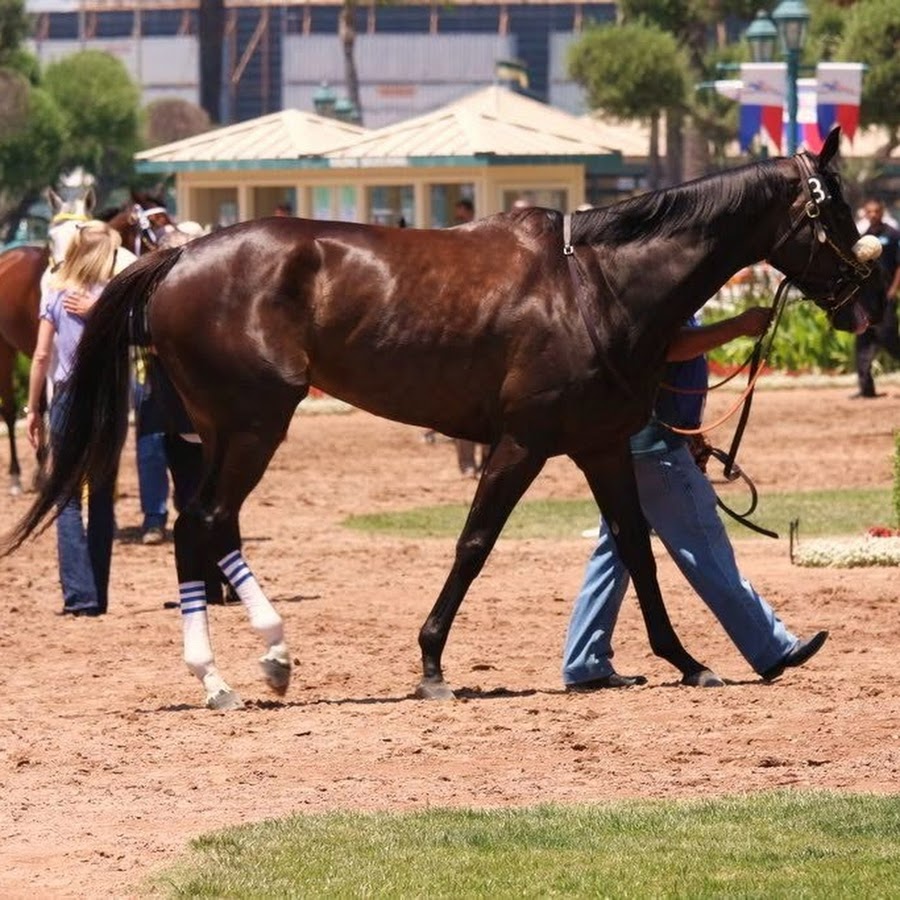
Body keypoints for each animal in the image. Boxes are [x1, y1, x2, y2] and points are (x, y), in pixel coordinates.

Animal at [3, 132, 884, 712]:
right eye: (835, 209)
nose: (866, 305)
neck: (594, 283)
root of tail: (179, 256)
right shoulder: (522, 443)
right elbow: (474, 544)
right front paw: (431, 664)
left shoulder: (600, 444)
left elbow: (638, 546)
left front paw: (685, 658)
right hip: (256, 424)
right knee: (211, 520)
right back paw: (268, 654)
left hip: (223, 429)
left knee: (196, 525)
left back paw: (220, 675)